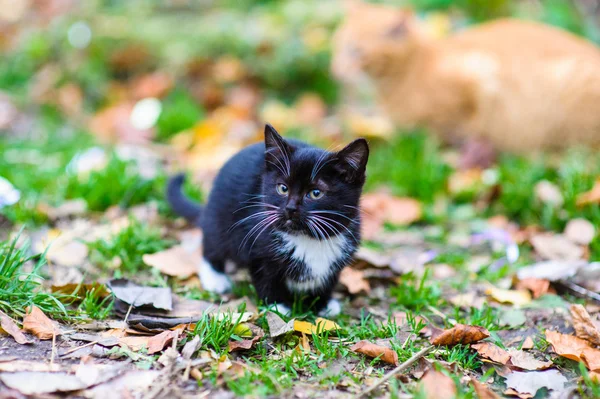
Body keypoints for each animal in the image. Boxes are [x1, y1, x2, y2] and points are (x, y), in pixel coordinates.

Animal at [166, 123, 368, 318]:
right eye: (283, 188)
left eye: (316, 193)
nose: (290, 208)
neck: (307, 238)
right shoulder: (256, 244)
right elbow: (266, 277)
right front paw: (277, 306)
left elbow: (328, 279)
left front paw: (322, 303)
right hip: (218, 215)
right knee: (213, 243)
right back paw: (215, 277)